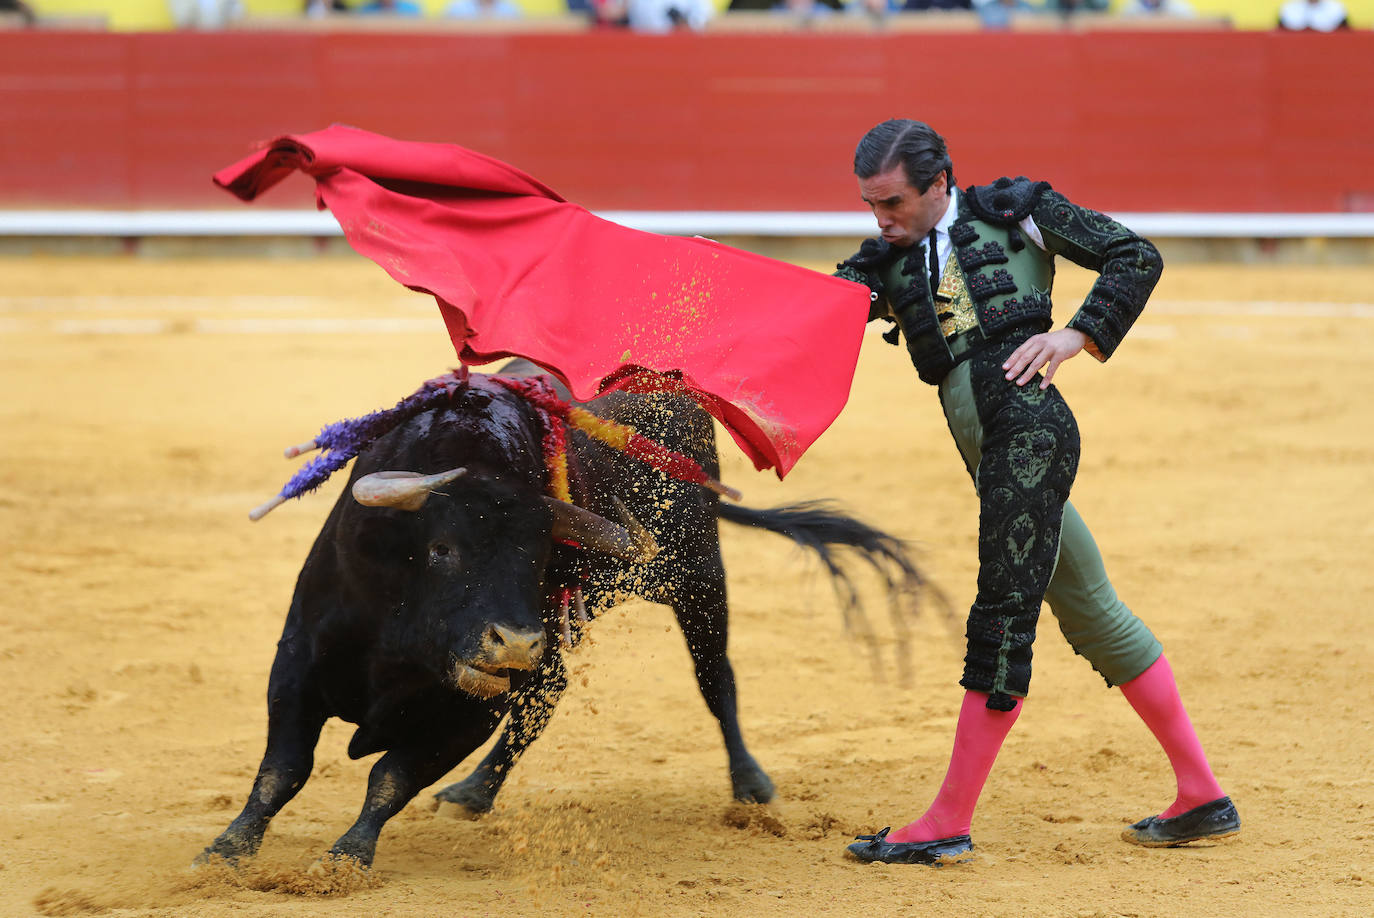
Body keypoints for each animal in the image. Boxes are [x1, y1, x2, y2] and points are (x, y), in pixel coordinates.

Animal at [200, 360, 923, 868]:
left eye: (543, 555)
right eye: (441, 549)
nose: (515, 643)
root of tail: (672, 393)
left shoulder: (469, 711)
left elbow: (389, 776)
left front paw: (346, 858)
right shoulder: (297, 662)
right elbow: (281, 770)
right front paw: (225, 851)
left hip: (700, 582)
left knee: (715, 679)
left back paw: (750, 785)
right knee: (551, 691)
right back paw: (473, 796)